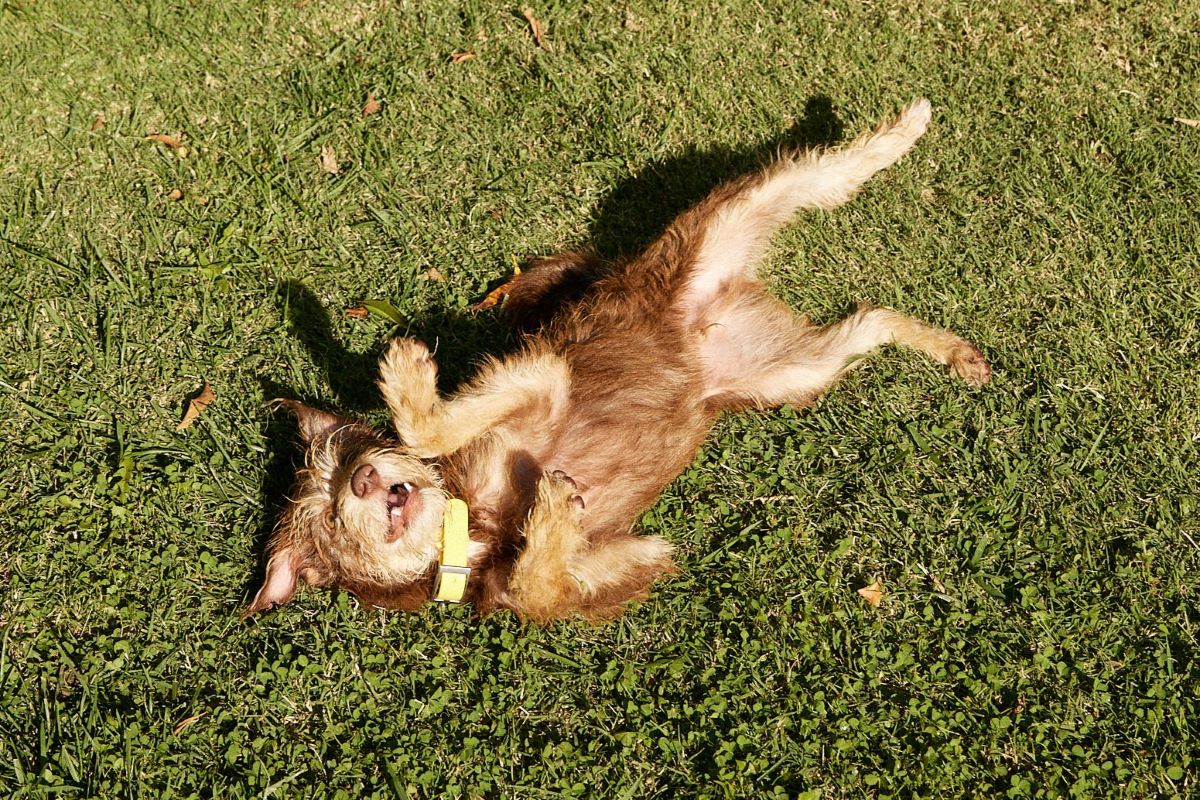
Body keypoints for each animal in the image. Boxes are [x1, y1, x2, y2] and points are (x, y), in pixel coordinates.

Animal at [238, 98, 988, 623]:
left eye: (348, 459)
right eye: (333, 521)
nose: (365, 481)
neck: (472, 526)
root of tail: (707, 318)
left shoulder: (541, 378)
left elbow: (432, 427)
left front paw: (406, 380)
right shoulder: (632, 560)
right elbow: (535, 591)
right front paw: (553, 517)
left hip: (721, 227)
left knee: (823, 170)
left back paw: (904, 128)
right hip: (792, 372)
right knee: (870, 318)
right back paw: (955, 353)